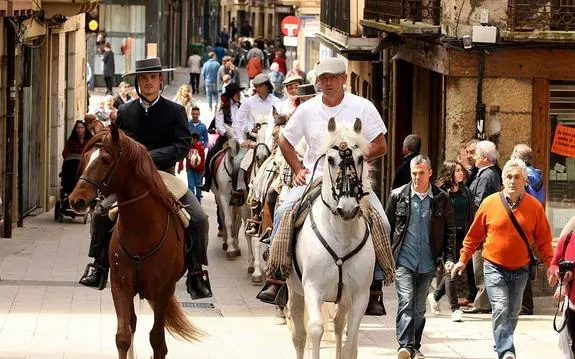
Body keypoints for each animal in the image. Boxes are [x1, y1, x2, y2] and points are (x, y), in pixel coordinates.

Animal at [69, 124, 201, 359]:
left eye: (106, 160)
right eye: (85, 159)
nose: (76, 200)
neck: (141, 230)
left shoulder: (163, 290)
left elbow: (157, 341)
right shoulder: (121, 286)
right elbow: (123, 336)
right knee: (132, 323)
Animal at [286, 118, 376, 359]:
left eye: (360, 158)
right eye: (330, 159)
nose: (348, 209)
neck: (341, 234)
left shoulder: (360, 295)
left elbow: (350, 341)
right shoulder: (312, 288)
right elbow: (315, 329)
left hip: (342, 299)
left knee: (338, 324)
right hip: (295, 292)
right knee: (299, 336)